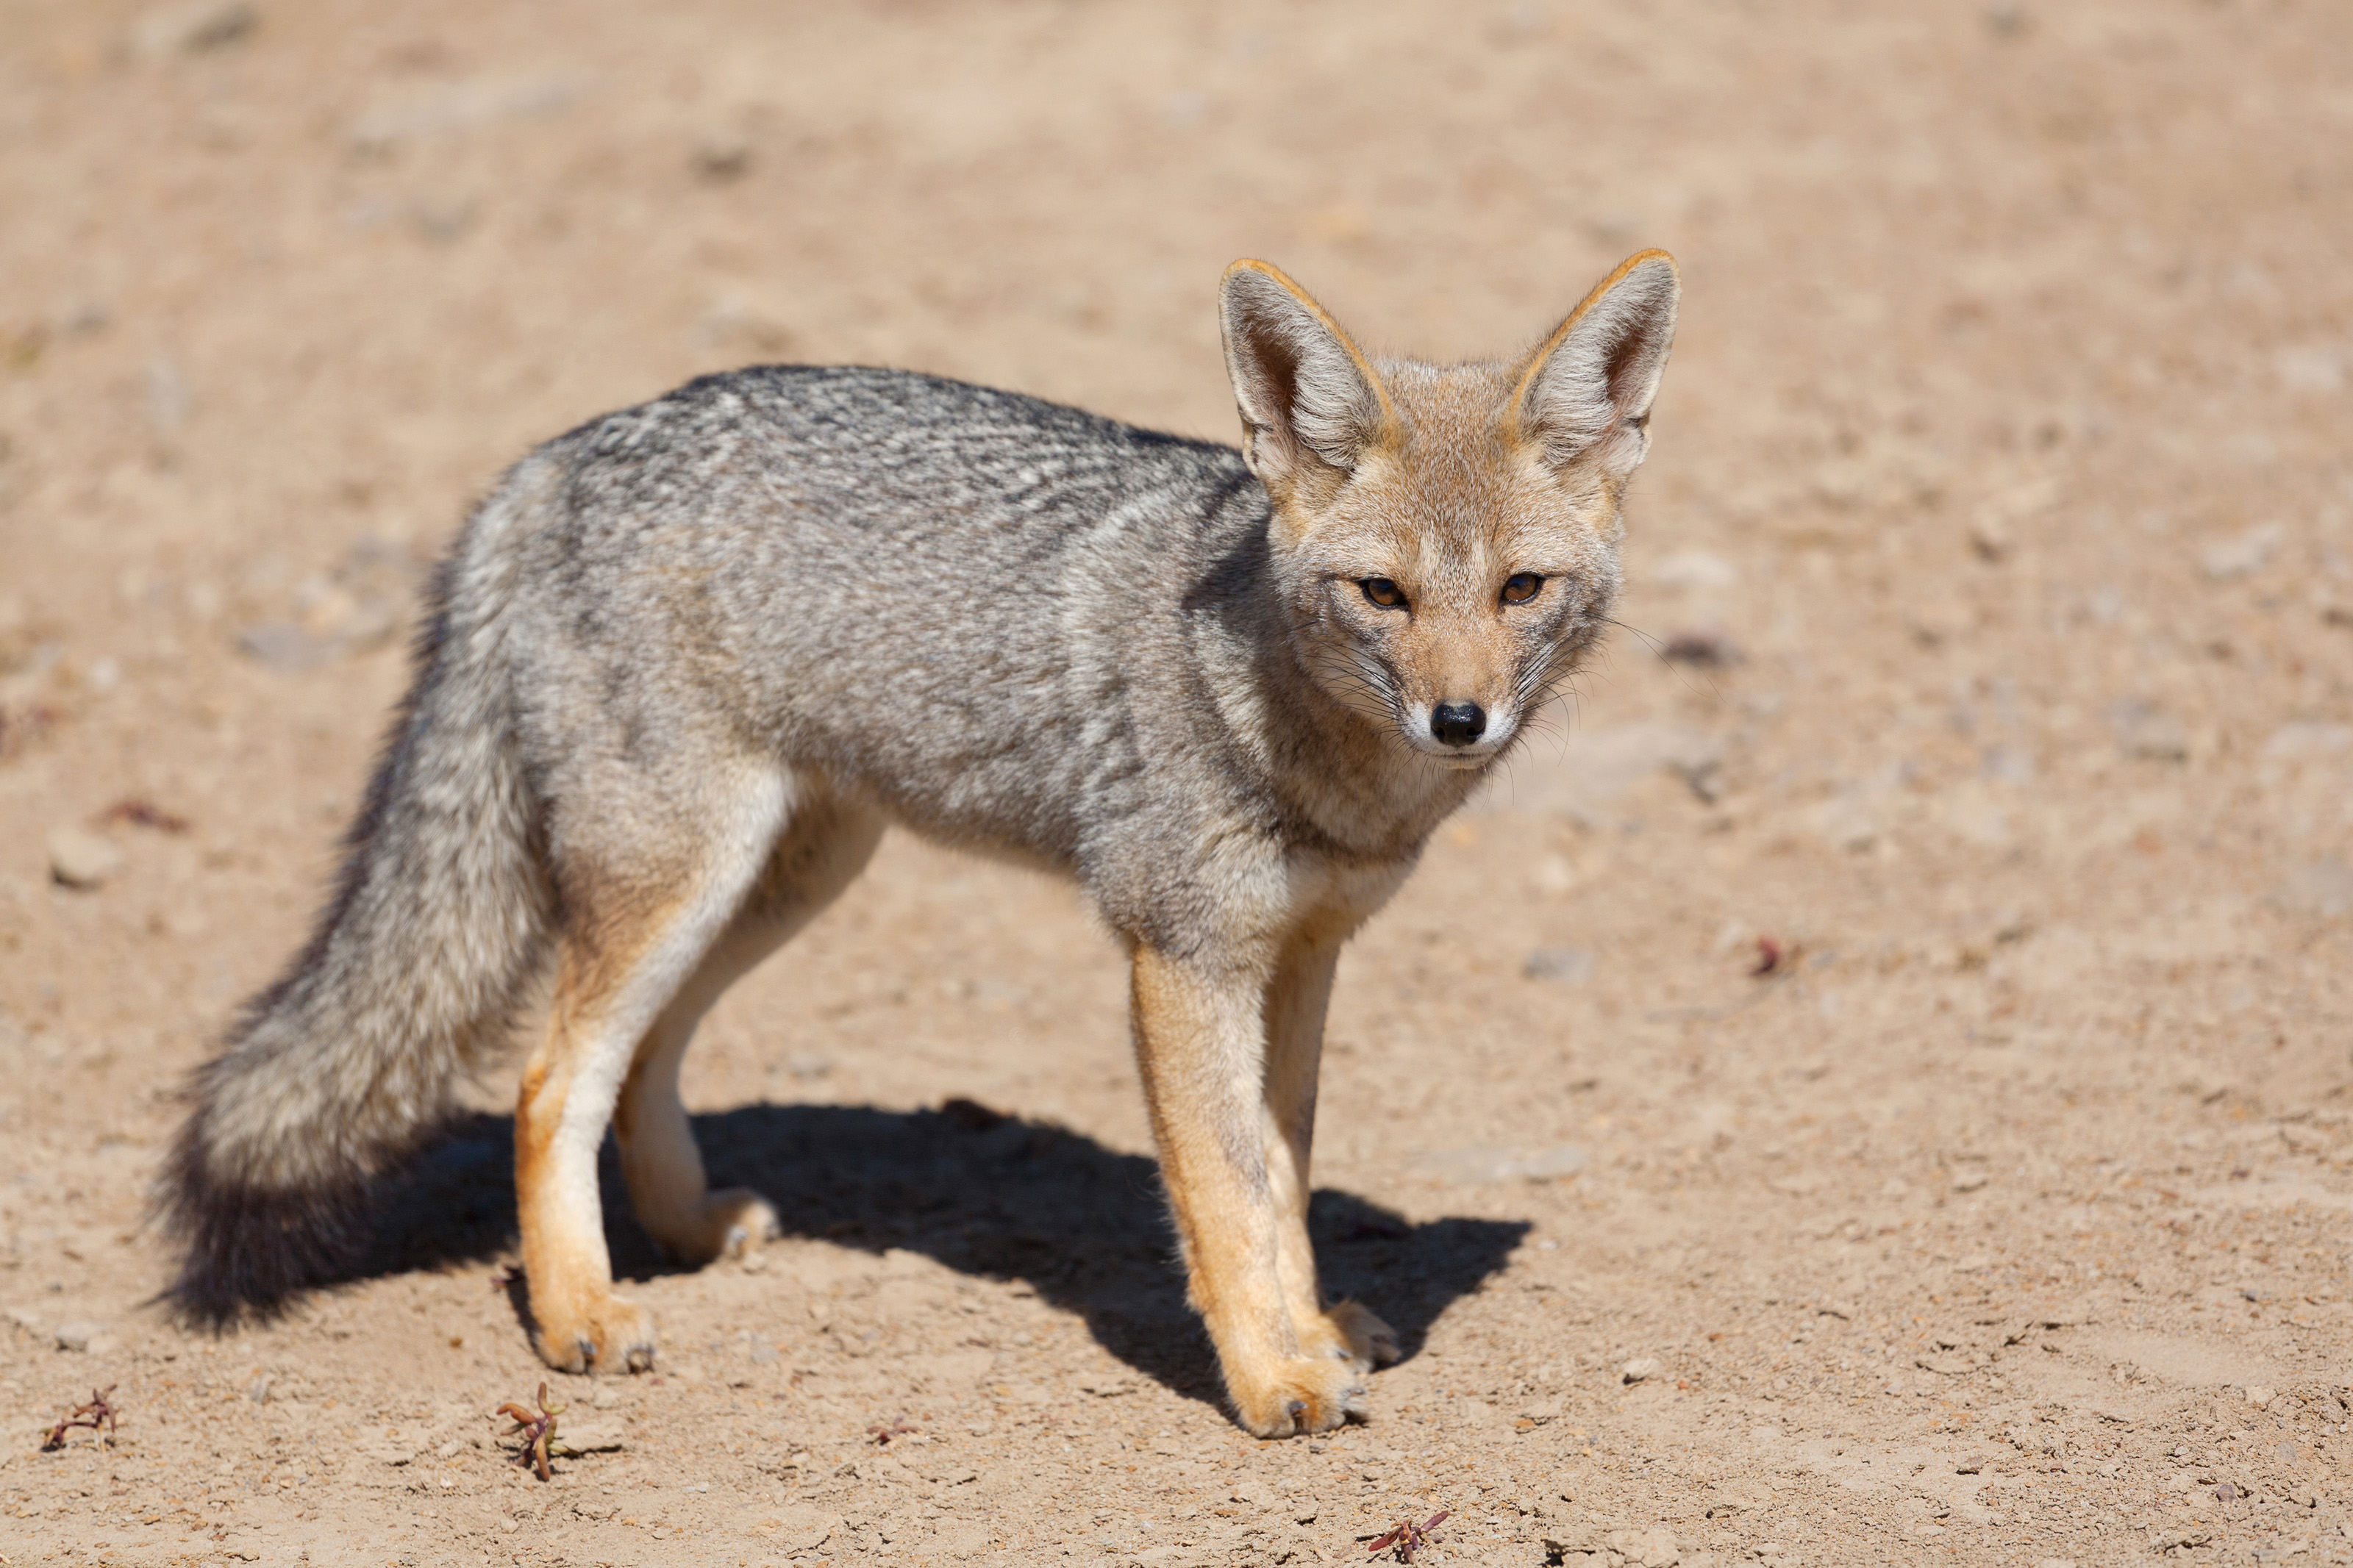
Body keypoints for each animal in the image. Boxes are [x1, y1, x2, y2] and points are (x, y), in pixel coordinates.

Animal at [161, 248, 1675, 1439]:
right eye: (1382, 595)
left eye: (1521, 589)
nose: (1460, 720)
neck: (1299, 734)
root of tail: (554, 457)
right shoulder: (1179, 957)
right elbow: (1226, 1190)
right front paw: (1273, 1377)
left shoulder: (1302, 956)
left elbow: (1283, 1176)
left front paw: (1310, 1329)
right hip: (682, 877)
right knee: (549, 1081)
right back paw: (580, 1310)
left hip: (784, 878)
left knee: (643, 1055)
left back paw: (683, 1231)